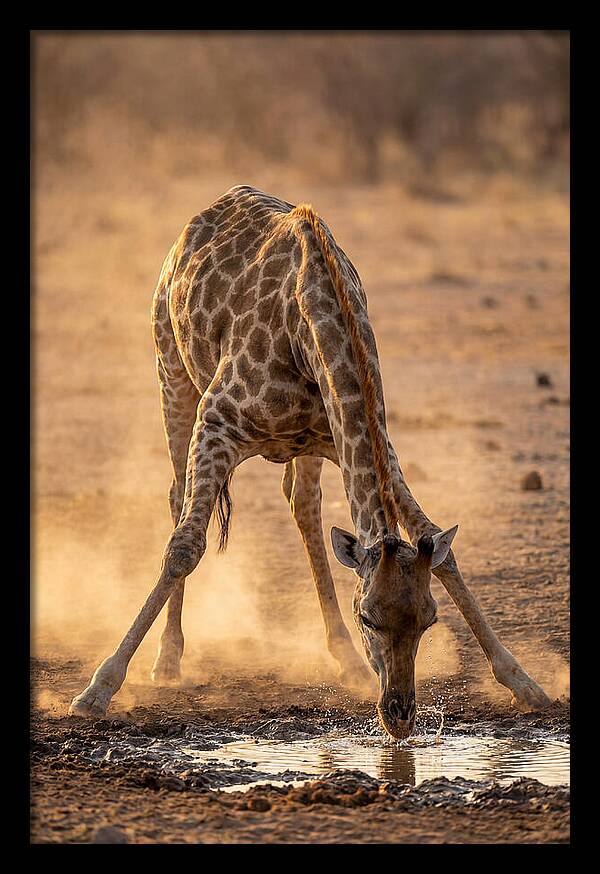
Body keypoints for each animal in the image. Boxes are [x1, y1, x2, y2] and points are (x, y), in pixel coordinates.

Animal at [69, 185, 552, 735]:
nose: (400, 715)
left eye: (428, 619)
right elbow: (184, 548)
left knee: (303, 505)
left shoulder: (363, 439)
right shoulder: (216, 423)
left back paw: (344, 659)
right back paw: (168, 660)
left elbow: (440, 550)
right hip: (171, 372)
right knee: (177, 500)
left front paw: (525, 682)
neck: (313, 326)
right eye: (369, 616)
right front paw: (99, 688)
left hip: (304, 445)